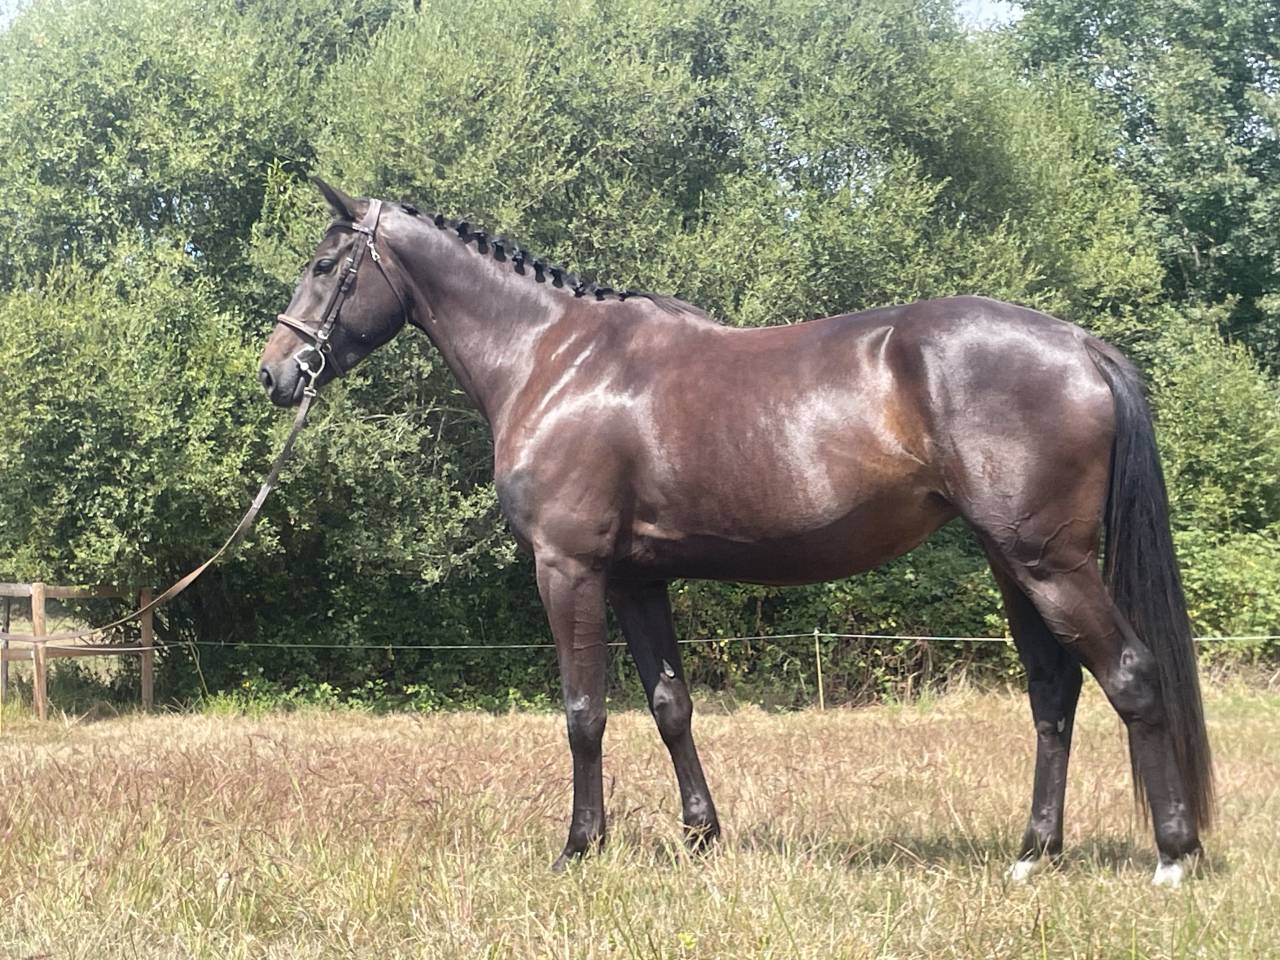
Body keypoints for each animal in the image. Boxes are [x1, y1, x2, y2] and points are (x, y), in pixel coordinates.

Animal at [257, 179, 1213, 886]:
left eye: (326, 264)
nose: (277, 372)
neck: (554, 357)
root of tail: (1081, 345)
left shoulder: (569, 568)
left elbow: (583, 712)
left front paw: (579, 847)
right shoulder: (637, 577)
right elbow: (670, 706)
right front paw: (699, 837)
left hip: (1048, 563)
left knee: (1130, 675)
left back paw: (1173, 855)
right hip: (1013, 563)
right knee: (1054, 695)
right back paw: (1032, 855)